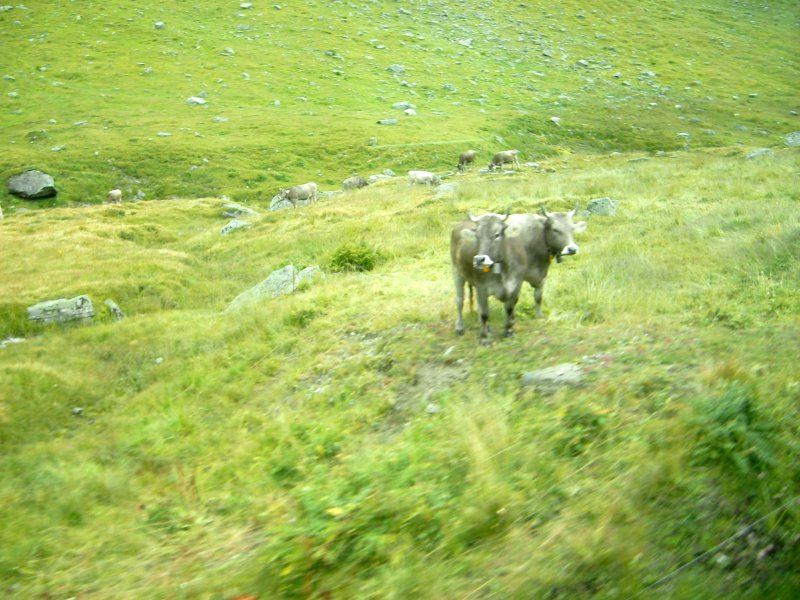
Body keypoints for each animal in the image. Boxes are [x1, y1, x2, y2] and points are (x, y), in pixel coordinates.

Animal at [450, 206, 588, 344]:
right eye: (555, 229)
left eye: (572, 228)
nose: (572, 249)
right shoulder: (489, 286)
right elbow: (489, 311)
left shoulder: (534, 279)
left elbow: (536, 298)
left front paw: (537, 317)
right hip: (456, 272)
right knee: (459, 301)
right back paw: (460, 328)